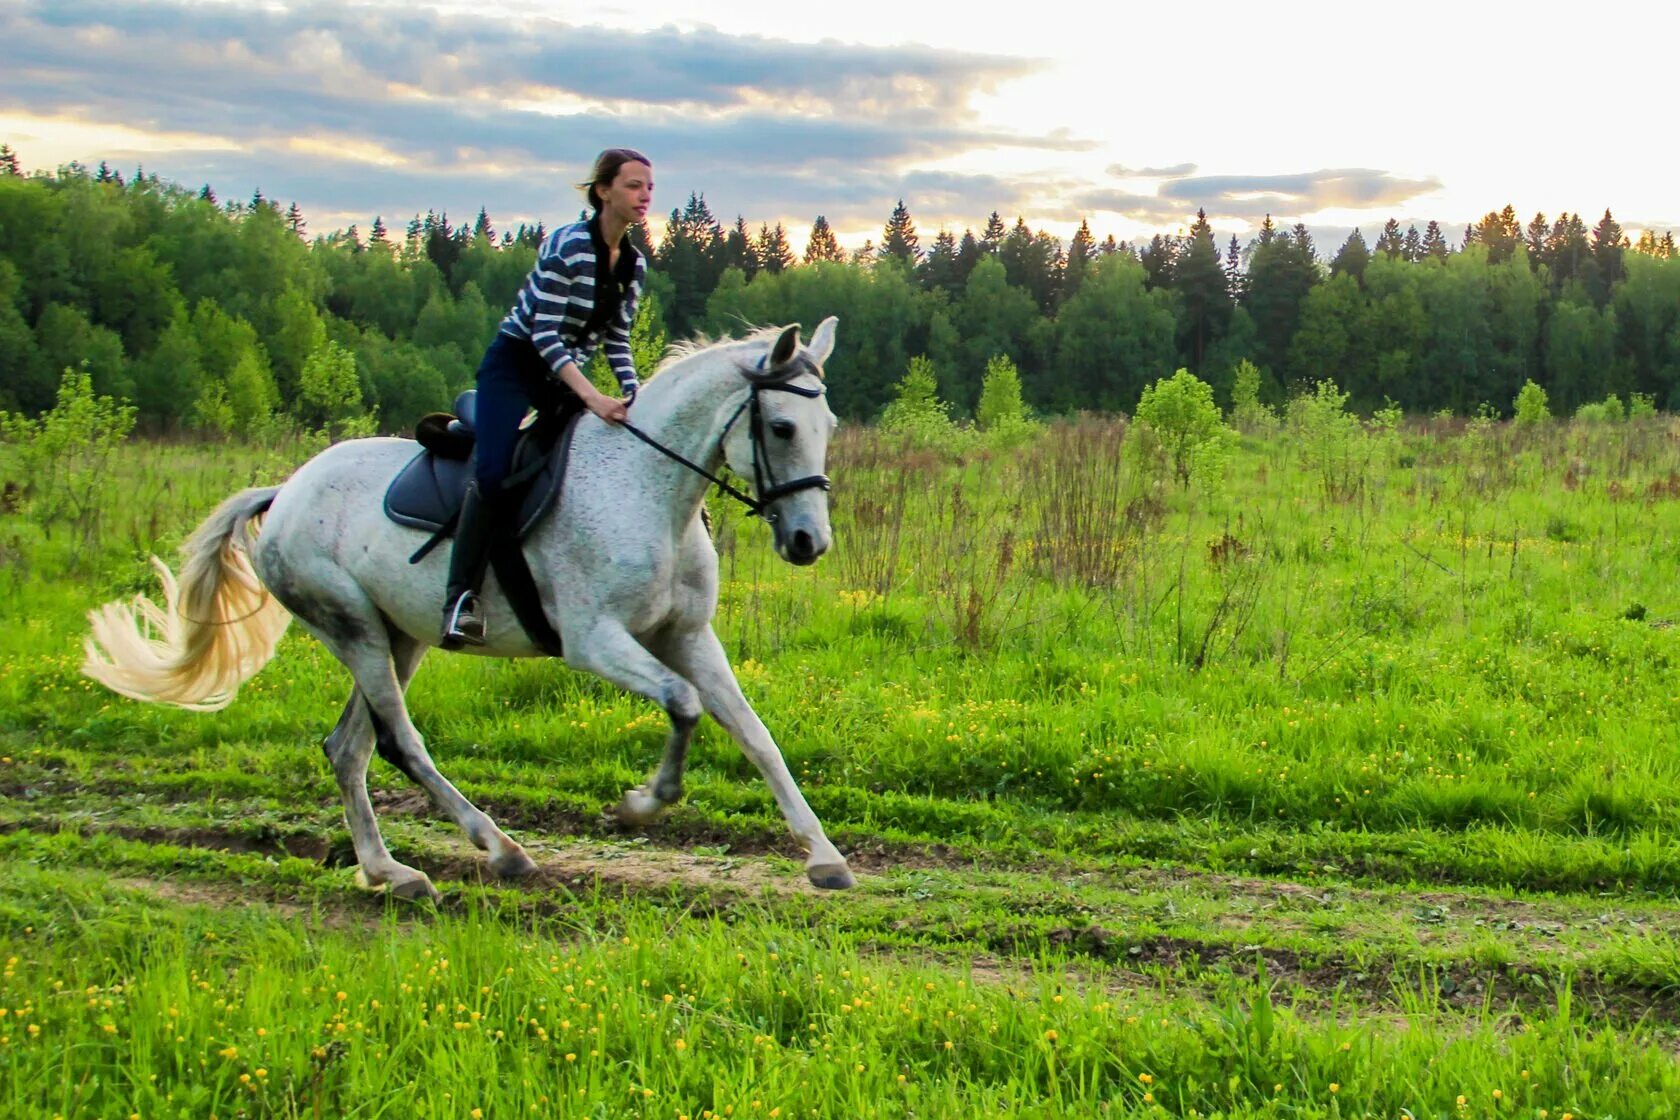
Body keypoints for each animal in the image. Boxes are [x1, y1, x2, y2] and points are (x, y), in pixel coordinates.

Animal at [81, 315, 853, 900]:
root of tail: (285, 490)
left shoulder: (688, 636)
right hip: (353, 627)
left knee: (348, 748)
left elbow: (752, 732)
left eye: (829, 423)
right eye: (782, 428)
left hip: (398, 636)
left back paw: (389, 871)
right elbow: (684, 704)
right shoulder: (594, 640)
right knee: (397, 742)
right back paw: (498, 847)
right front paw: (642, 803)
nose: (809, 541)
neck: (650, 491)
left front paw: (824, 856)